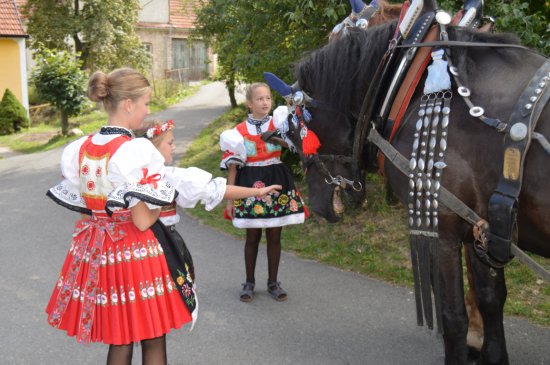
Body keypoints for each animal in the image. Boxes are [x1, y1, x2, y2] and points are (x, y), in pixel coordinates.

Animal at [270, 20, 548, 364]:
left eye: (296, 133)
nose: (319, 207)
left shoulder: (443, 231)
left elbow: (452, 317)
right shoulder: (482, 231)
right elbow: (491, 300)